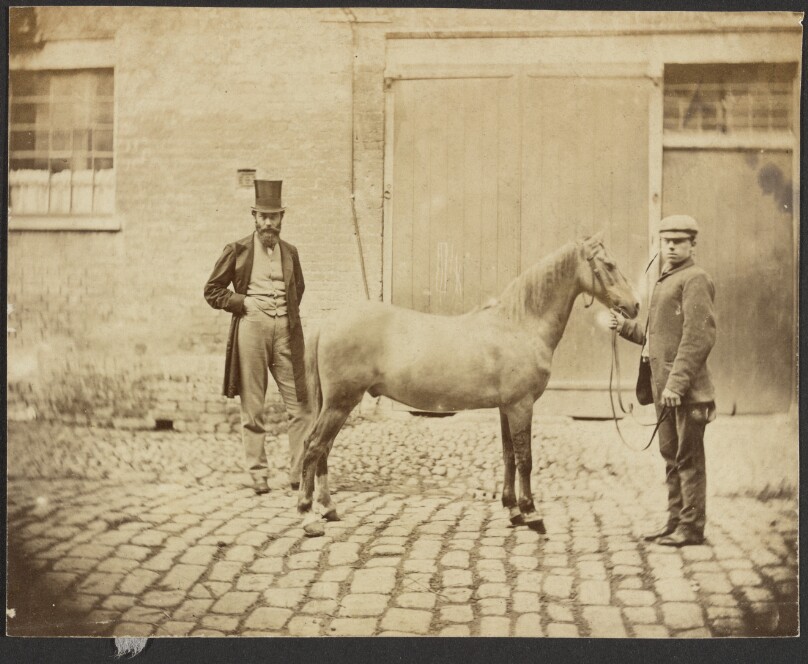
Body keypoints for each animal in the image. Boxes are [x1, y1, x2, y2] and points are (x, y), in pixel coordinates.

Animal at [297, 232, 639, 537]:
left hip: (337, 404)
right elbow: (526, 459)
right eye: (609, 264)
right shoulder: (521, 405)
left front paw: (513, 510)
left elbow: (509, 456)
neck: (519, 324)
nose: (635, 306)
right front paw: (532, 514)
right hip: (341, 402)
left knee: (324, 449)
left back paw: (328, 508)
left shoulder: (506, 407)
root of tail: (327, 323)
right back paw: (307, 516)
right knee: (314, 446)